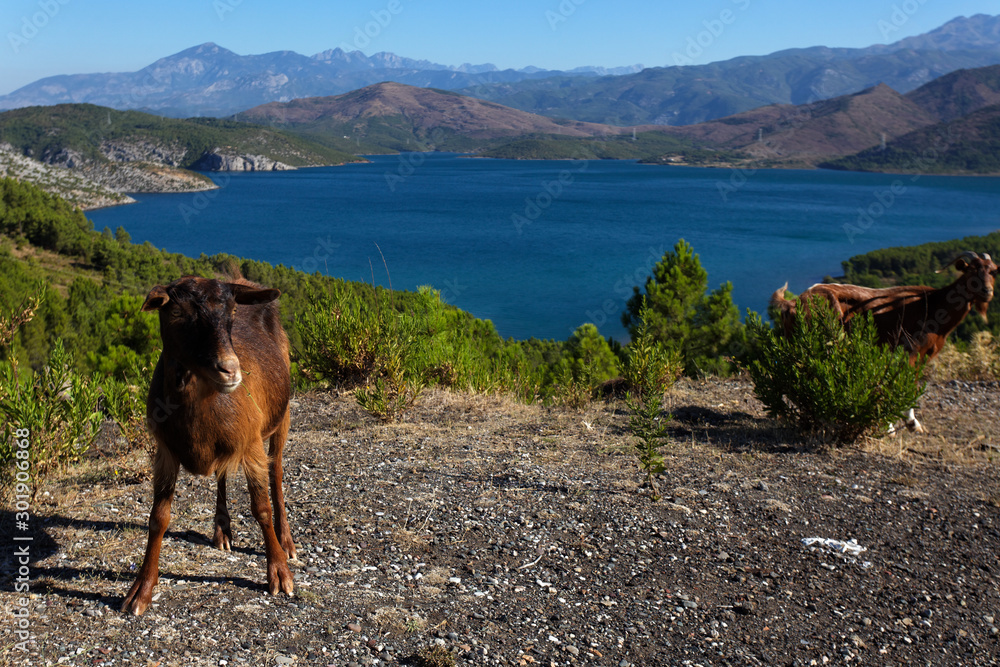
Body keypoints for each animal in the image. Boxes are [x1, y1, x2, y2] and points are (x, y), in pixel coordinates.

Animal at [121, 273, 295, 616]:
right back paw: (222, 530)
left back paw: (286, 542)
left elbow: (261, 508)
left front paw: (279, 573)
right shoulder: (165, 452)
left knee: (277, 472)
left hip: (282, 416)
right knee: (222, 474)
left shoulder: (251, 443)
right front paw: (142, 589)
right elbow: (158, 518)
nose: (230, 370)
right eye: (177, 313)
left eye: (232, 314)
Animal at [771, 250, 997, 432]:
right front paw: (901, 425)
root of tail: (792, 303)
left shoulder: (923, 353)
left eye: (993, 272)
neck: (934, 304)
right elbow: (907, 382)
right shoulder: (910, 349)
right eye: (972, 271)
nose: (987, 292)